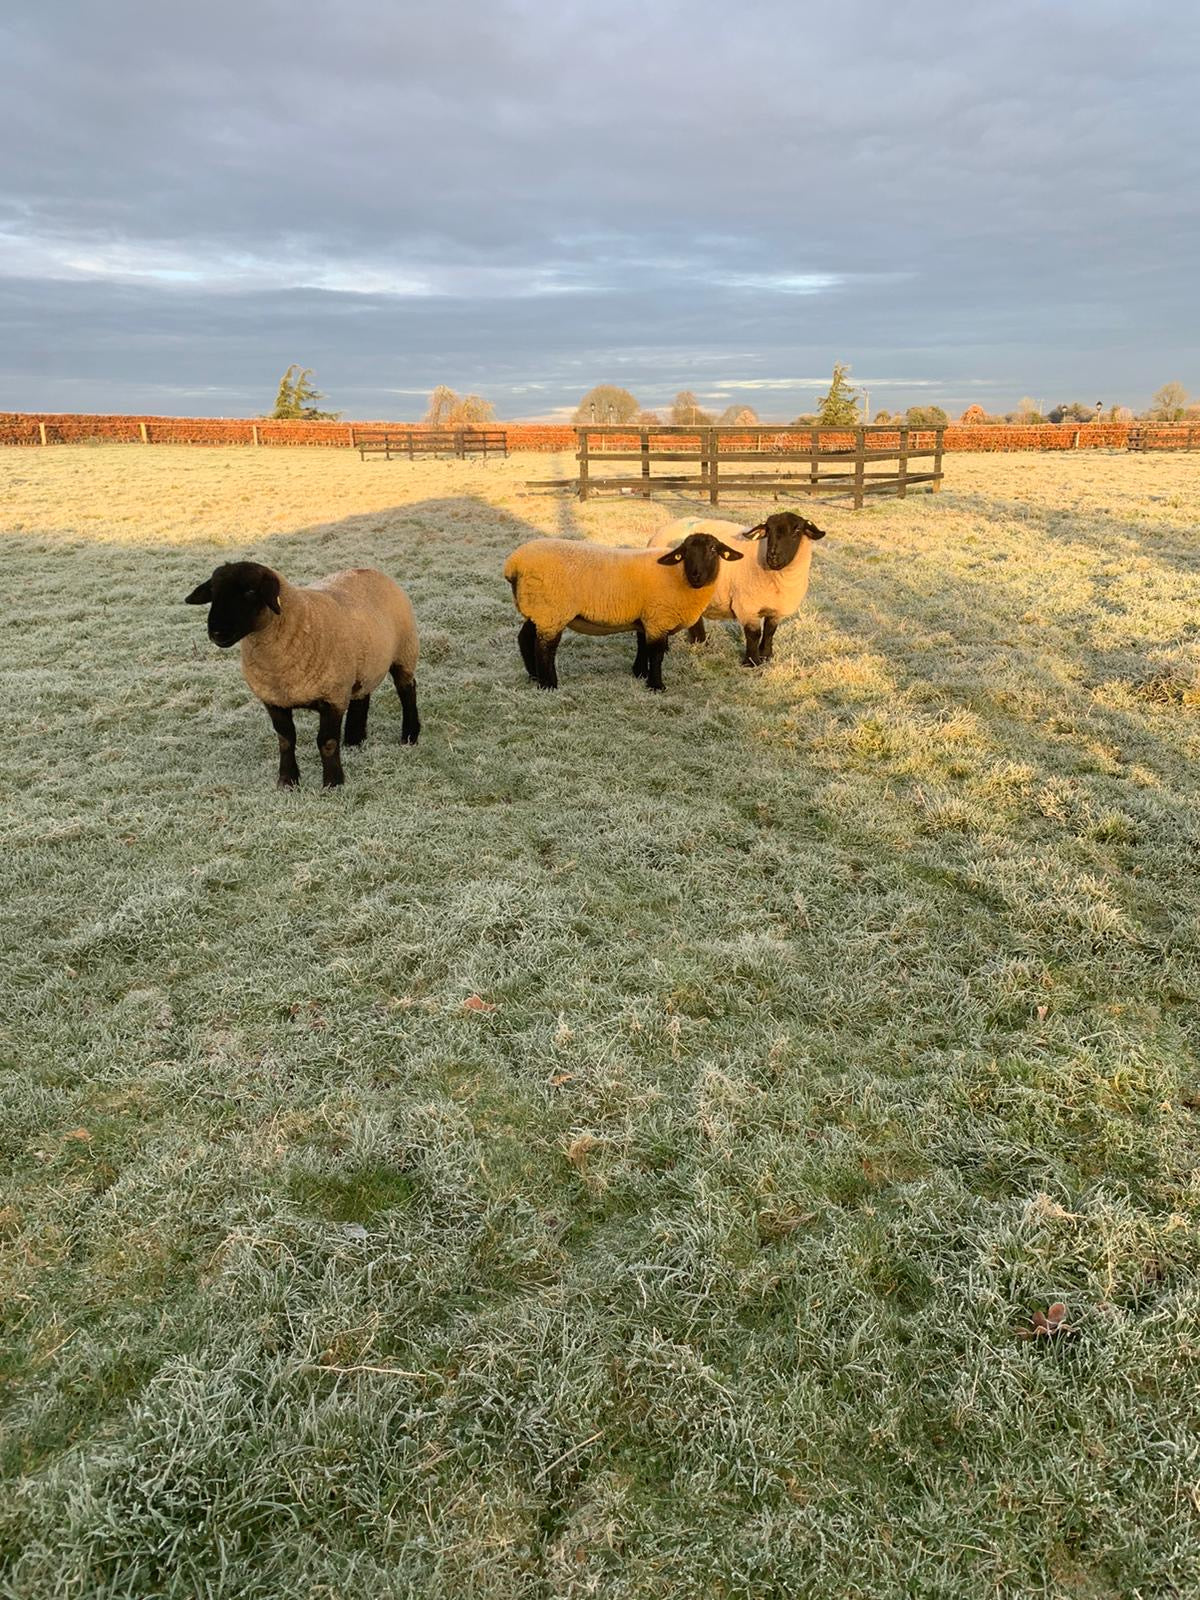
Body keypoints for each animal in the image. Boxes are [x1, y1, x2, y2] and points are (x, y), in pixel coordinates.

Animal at [184, 560, 419, 788]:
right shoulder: (274, 700)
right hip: (364, 662)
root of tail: (371, 569)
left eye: (250, 591)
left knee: (407, 690)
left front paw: (333, 783)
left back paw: (409, 735)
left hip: (404, 652)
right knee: (362, 695)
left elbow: (326, 742)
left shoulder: (332, 696)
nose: (216, 632)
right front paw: (288, 781)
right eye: (213, 592)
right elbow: (286, 740)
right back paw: (354, 740)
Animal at [502, 532, 744, 692]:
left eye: (714, 550)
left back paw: (534, 676)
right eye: (684, 553)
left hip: (538, 610)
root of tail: (513, 564)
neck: (677, 575)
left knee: (525, 638)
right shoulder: (657, 619)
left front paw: (640, 673)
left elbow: (642, 645)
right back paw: (549, 684)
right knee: (545, 647)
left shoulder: (646, 618)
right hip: (552, 611)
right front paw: (656, 685)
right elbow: (656, 654)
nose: (696, 576)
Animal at [647, 510, 826, 667]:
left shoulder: (777, 609)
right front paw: (752, 662)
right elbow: (754, 634)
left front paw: (766, 655)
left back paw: (700, 642)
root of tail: (658, 532)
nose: (773, 557)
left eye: (797, 531)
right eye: (768, 530)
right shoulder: (747, 606)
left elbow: (770, 631)